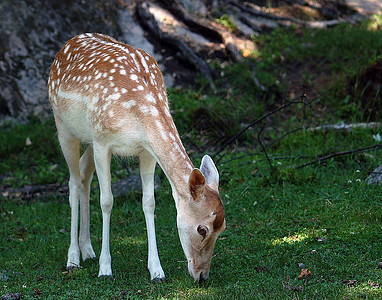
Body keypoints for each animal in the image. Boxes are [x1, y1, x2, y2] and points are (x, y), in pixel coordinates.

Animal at [48, 34, 227, 282]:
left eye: (223, 228)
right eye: (202, 229)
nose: (202, 276)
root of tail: (66, 45)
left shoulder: (146, 151)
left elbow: (149, 202)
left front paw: (157, 270)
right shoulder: (103, 142)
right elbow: (106, 201)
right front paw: (105, 269)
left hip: (89, 139)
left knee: (84, 176)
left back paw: (88, 250)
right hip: (64, 126)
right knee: (73, 182)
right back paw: (73, 258)